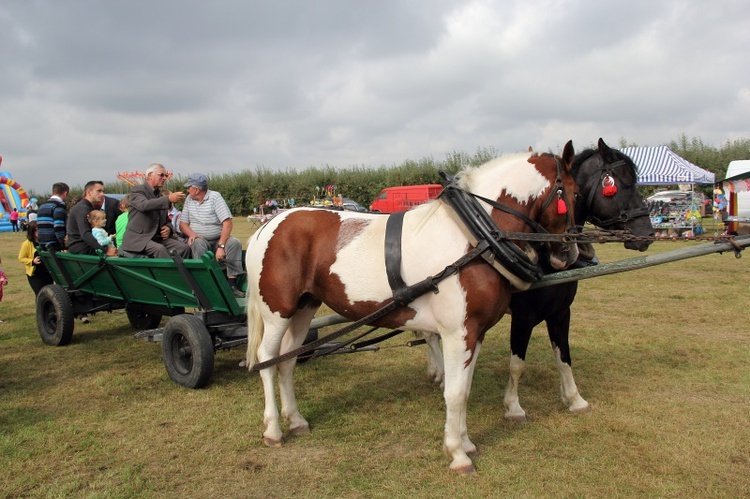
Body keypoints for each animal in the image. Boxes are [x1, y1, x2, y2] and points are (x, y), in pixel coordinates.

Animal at [247, 142, 580, 476]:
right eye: (574, 192)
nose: (571, 253)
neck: (475, 240)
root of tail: (267, 227)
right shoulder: (457, 333)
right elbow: (455, 393)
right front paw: (457, 453)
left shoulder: (476, 332)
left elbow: (465, 388)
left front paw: (466, 442)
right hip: (277, 312)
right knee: (267, 359)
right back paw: (273, 429)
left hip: (304, 309)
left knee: (288, 361)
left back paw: (296, 420)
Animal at [506, 138, 656, 422]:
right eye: (625, 183)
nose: (647, 234)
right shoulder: (523, 316)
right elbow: (517, 363)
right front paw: (513, 407)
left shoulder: (561, 312)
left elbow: (564, 356)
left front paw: (575, 400)